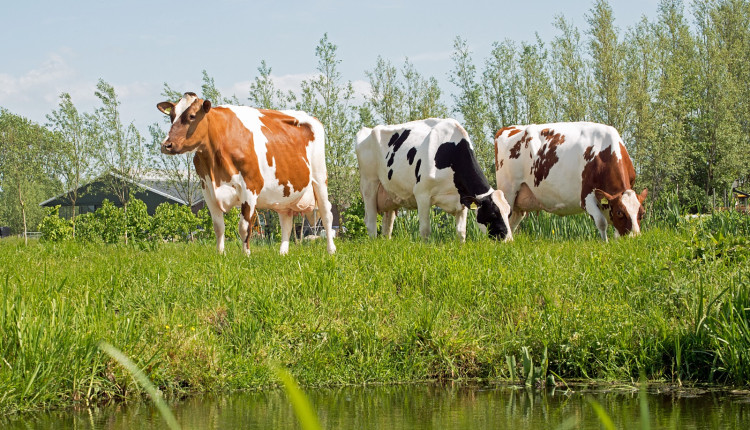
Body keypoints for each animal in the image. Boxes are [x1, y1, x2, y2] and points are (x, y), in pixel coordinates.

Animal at [157, 93, 336, 255]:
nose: (166, 145)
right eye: (171, 116)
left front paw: (246, 255)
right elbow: (218, 227)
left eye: (192, 116)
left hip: (320, 178)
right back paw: (283, 253)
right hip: (285, 193)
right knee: (286, 221)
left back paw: (331, 250)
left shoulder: (250, 187)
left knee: (326, 214)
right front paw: (220, 255)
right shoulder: (207, 189)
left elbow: (244, 227)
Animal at [356, 118, 516, 242]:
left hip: (389, 194)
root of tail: (367, 130)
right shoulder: (422, 194)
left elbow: (461, 232)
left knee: (387, 226)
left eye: (509, 213)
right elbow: (425, 230)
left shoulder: (462, 199)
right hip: (369, 184)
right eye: (493, 213)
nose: (508, 241)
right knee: (370, 222)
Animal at [496, 122, 648, 240]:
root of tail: (509, 128)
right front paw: (605, 243)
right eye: (620, 213)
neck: (604, 153)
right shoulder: (586, 197)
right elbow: (601, 222)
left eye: (642, 213)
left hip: (520, 200)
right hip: (508, 191)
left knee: (513, 221)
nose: (634, 237)